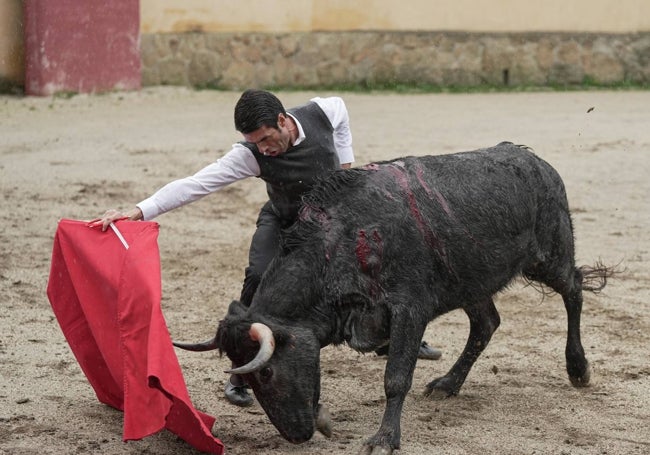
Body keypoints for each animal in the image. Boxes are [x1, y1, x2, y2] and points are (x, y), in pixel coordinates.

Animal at [172, 143, 608, 455]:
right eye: (246, 376)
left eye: (265, 373)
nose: (297, 436)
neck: (341, 242)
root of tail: (536, 161)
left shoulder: (410, 310)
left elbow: (396, 378)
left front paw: (383, 440)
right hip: (468, 280)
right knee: (486, 323)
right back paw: (448, 383)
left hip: (548, 256)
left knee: (574, 289)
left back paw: (578, 368)